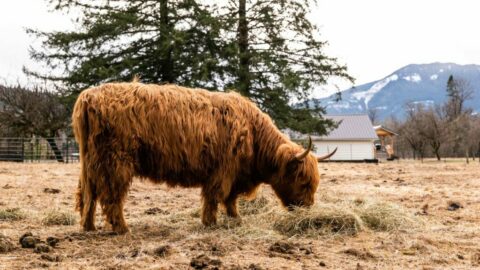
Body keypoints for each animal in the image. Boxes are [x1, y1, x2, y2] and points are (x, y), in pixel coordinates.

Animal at [73, 83, 336, 234]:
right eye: (303, 182)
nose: (308, 208)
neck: (254, 136)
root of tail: (89, 96)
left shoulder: (235, 175)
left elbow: (231, 199)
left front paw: (235, 218)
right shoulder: (223, 171)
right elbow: (216, 196)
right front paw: (210, 223)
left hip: (90, 162)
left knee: (87, 193)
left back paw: (88, 226)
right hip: (116, 162)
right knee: (111, 196)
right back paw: (122, 229)